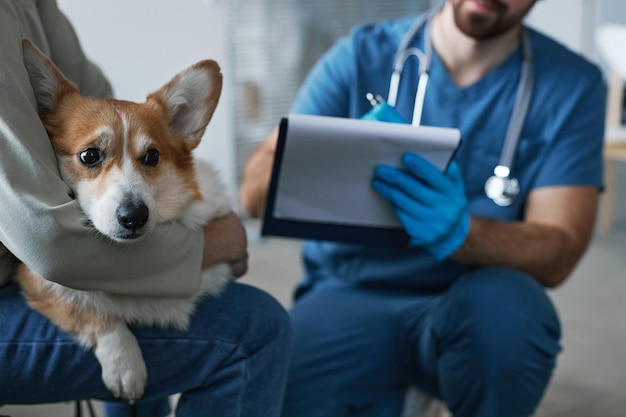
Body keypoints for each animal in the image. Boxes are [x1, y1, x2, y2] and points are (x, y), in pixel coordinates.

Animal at [17, 39, 236, 400]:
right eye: (90, 155)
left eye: (152, 156)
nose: (134, 217)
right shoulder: (37, 275)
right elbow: (91, 311)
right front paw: (125, 365)